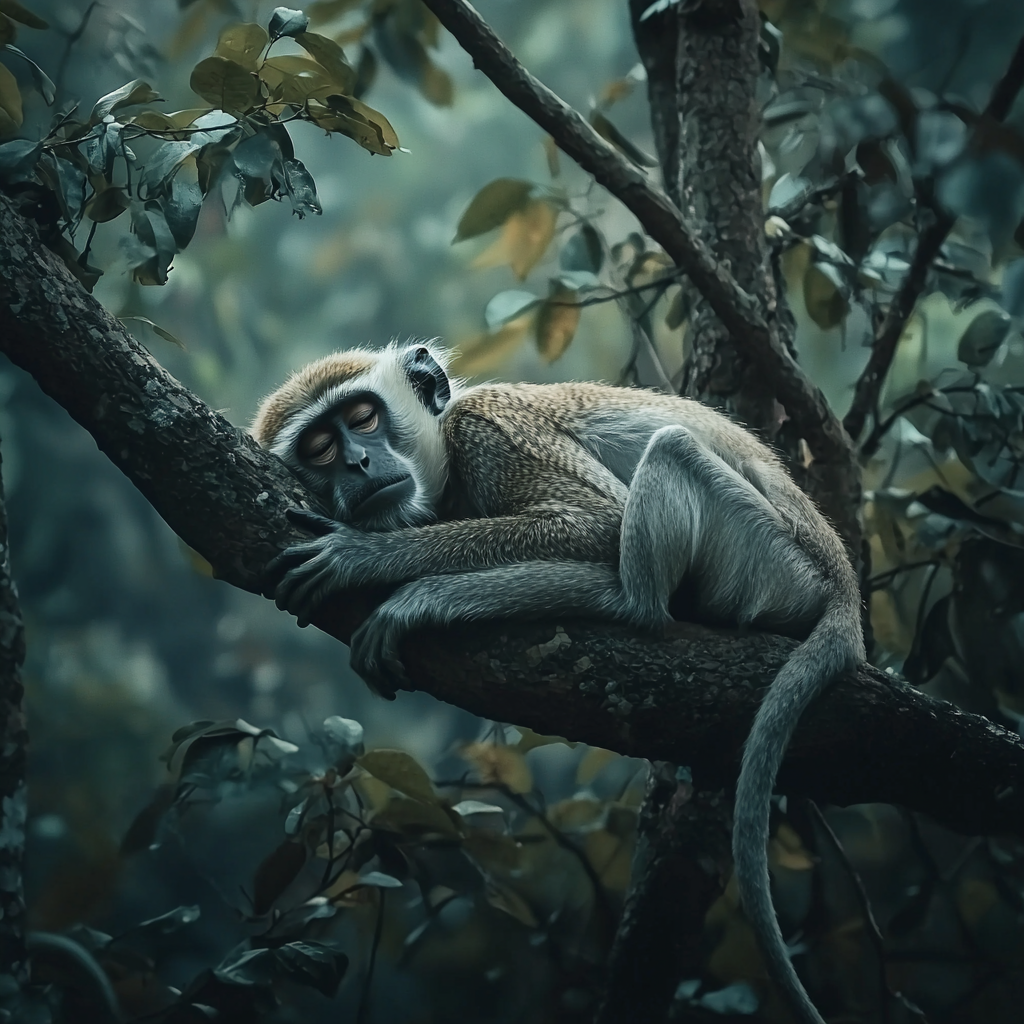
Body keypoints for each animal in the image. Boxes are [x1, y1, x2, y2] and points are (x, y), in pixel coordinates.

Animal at [249, 344, 864, 1024]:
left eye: (362, 417)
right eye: (320, 449)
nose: (357, 461)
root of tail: (839, 580)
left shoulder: (491, 431)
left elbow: (597, 524)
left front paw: (372, 561)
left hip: (773, 562)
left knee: (666, 472)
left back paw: (604, 597)